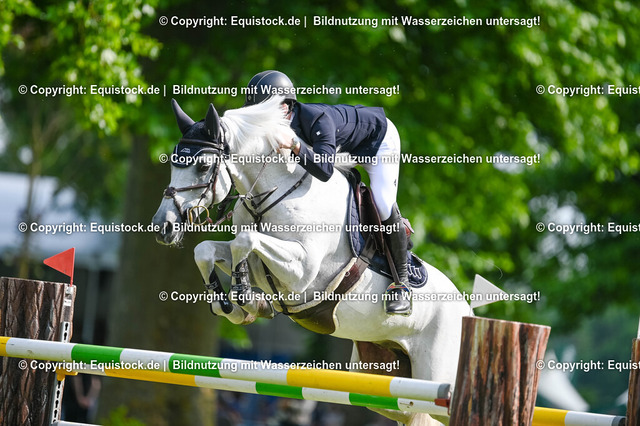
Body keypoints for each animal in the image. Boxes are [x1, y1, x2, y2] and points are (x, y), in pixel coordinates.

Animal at [151, 97, 472, 425]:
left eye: (203, 166)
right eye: (173, 162)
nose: (163, 227)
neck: (277, 191)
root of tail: (468, 310)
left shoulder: (303, 272)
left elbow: (246, 241)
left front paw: (244, 296)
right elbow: (207, 250)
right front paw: (236, 304)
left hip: (436, 376)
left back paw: (400, 296)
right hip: (383, 379)